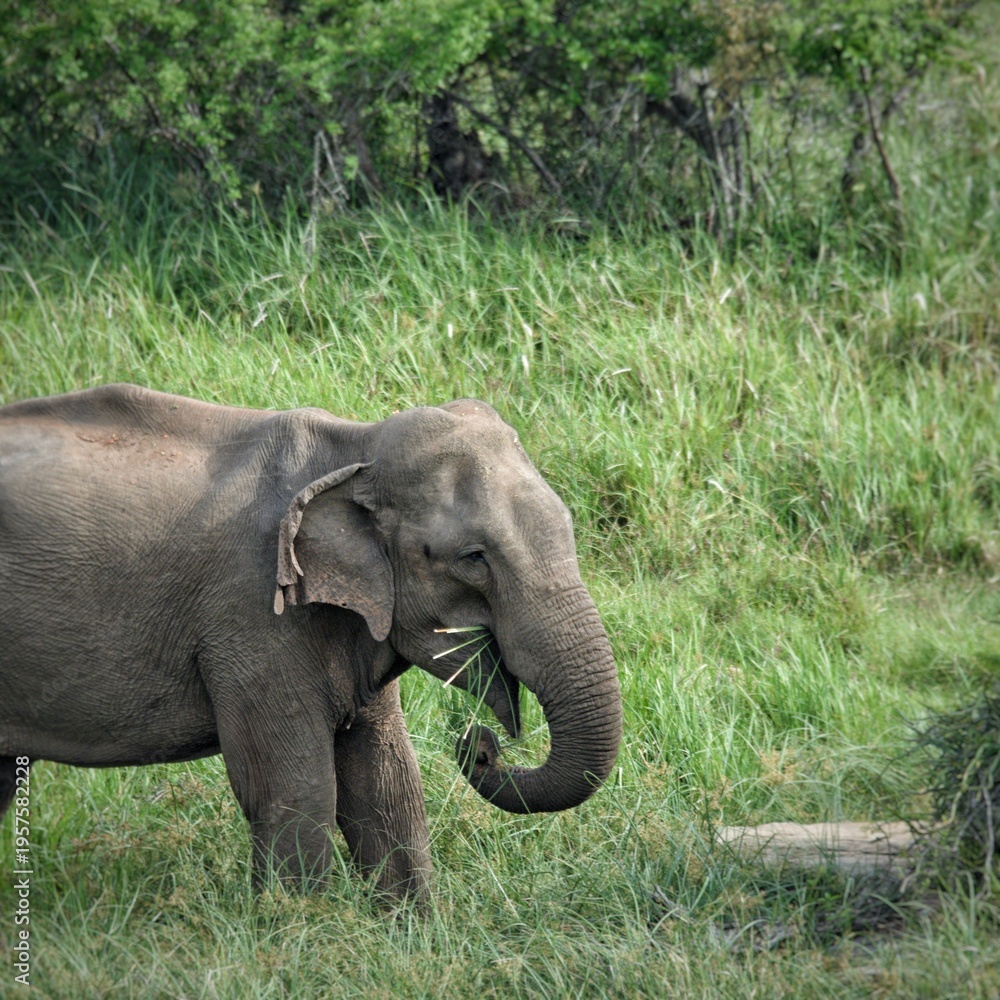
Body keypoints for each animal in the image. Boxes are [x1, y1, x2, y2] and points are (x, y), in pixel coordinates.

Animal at [0, 384, 622, 899]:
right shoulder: (253, 620)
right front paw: (300, 932)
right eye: (474, 558)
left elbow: (386, 783)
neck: (354, 447)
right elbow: (296, 790)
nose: (477, 743)